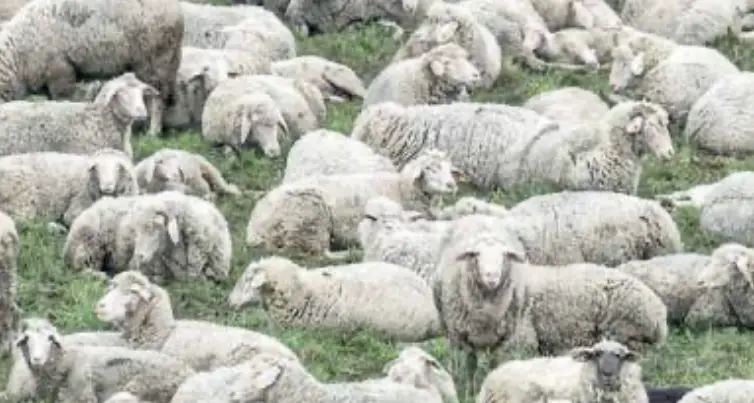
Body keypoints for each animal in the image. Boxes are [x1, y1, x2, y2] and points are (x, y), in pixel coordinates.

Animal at [0, 0, 183, 137]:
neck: (17, 58)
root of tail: (176, 10)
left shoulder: (60, 72)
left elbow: (62, 98)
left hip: (156, 60)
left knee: (158, 98)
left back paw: (153, 131)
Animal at [0, 149, 138, 231]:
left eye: (119, 168)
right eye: (96, 168)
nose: (107, 187)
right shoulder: (76, 207)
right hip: (21, 195)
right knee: (22, 221)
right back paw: (54, 227)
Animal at [14, 317, 194, 403]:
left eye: (50, 339)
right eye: (27, 339)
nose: (37, 359)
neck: (68, 360)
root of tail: (189, 372)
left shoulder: (84, 396)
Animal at [246, 148, 460, 257]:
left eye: (449, 168)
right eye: (430, 168)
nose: (452, 185)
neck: (401, 187)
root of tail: (253, 227)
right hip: (309, 217)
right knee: (317, 252)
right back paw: (350, 252)